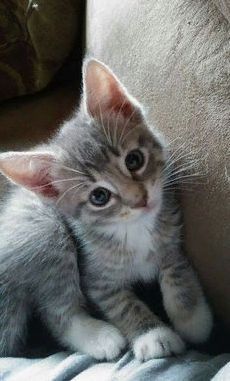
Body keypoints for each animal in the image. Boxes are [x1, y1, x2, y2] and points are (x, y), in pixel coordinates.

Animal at [0, 58, 213, 360]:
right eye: (99, 196)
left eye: (134, 160)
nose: (140, 200)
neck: (134, 228)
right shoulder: (97, 280)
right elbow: (122, 305)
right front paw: (155, 335)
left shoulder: (171, 238)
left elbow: (176, 269)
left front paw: (192, 319)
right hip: (46, 230)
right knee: (56, 311)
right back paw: (99, 337)